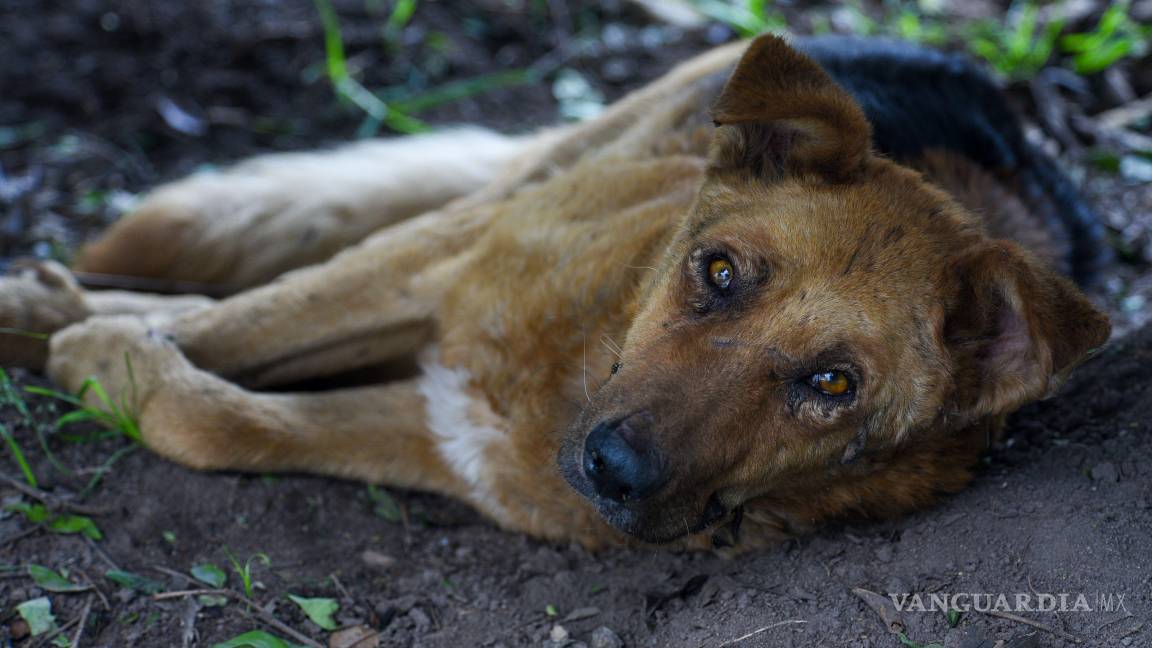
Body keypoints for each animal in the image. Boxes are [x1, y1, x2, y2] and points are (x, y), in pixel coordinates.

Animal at [2, 35, 1115, 548]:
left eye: (833, 384)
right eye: (719, 273)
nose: (615, 470)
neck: (584, 352)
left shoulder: (441, 442)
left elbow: (221, 421)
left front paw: (113, 369)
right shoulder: (428, 272)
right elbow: (244, 327)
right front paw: (93, 341)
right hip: (532, 176)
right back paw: (52, 305)